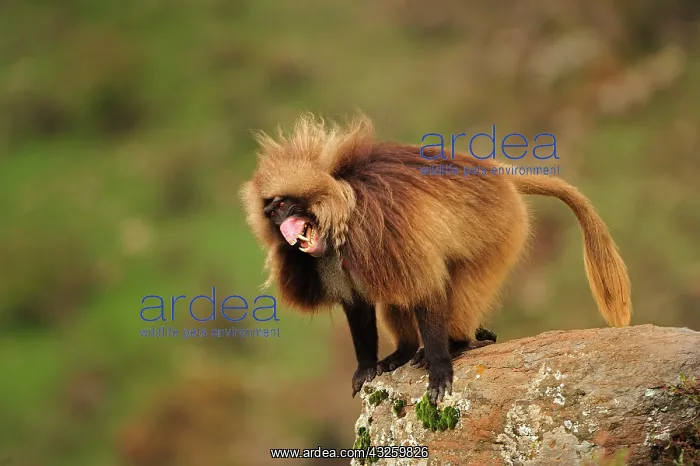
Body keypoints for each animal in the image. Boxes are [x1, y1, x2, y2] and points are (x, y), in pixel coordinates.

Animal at [240, 113, 632, 405]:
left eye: (286, 205)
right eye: (272, 212)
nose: (282, 227)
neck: (342, 205)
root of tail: (495, 173)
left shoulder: (382, 229)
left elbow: (427, 289)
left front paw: (440, 368)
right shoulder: (329, 259)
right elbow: (358, 304)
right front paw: (366, 368)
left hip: (502, 230)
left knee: (456, 289)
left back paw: (456, 343)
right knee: (397, 295)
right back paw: (404, 352)